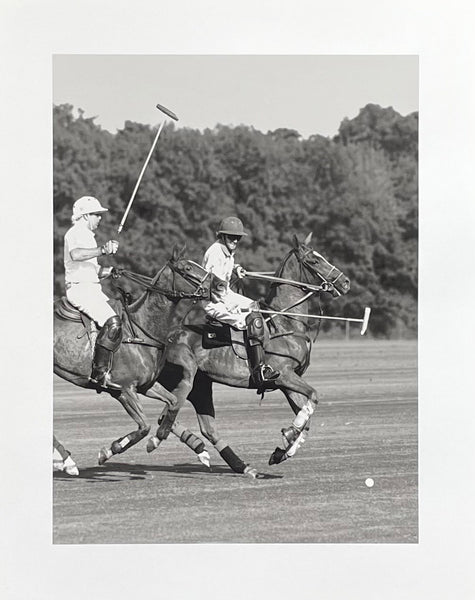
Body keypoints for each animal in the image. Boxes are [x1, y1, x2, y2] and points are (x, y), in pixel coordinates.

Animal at [53, 246, 214, 466]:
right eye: (187, 268)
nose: (219, 284)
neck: (143, 329)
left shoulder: (145, 385)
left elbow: (173, 402)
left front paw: (158, 437)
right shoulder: (124, 389)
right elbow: (144, 427)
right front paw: (108, 450)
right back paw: (67, 462)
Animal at [147, 234, 352, 474]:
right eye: (314, 260)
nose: (345, 282)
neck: (285, 322)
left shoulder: (287, 382)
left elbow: (307, 417)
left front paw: (281, 451)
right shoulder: (284, 375)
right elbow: (314, 396)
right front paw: (288, 435)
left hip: (200, 386)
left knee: (196, 422)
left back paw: (234, 463)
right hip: (182, 377)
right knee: (169, 411)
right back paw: (166, 442)